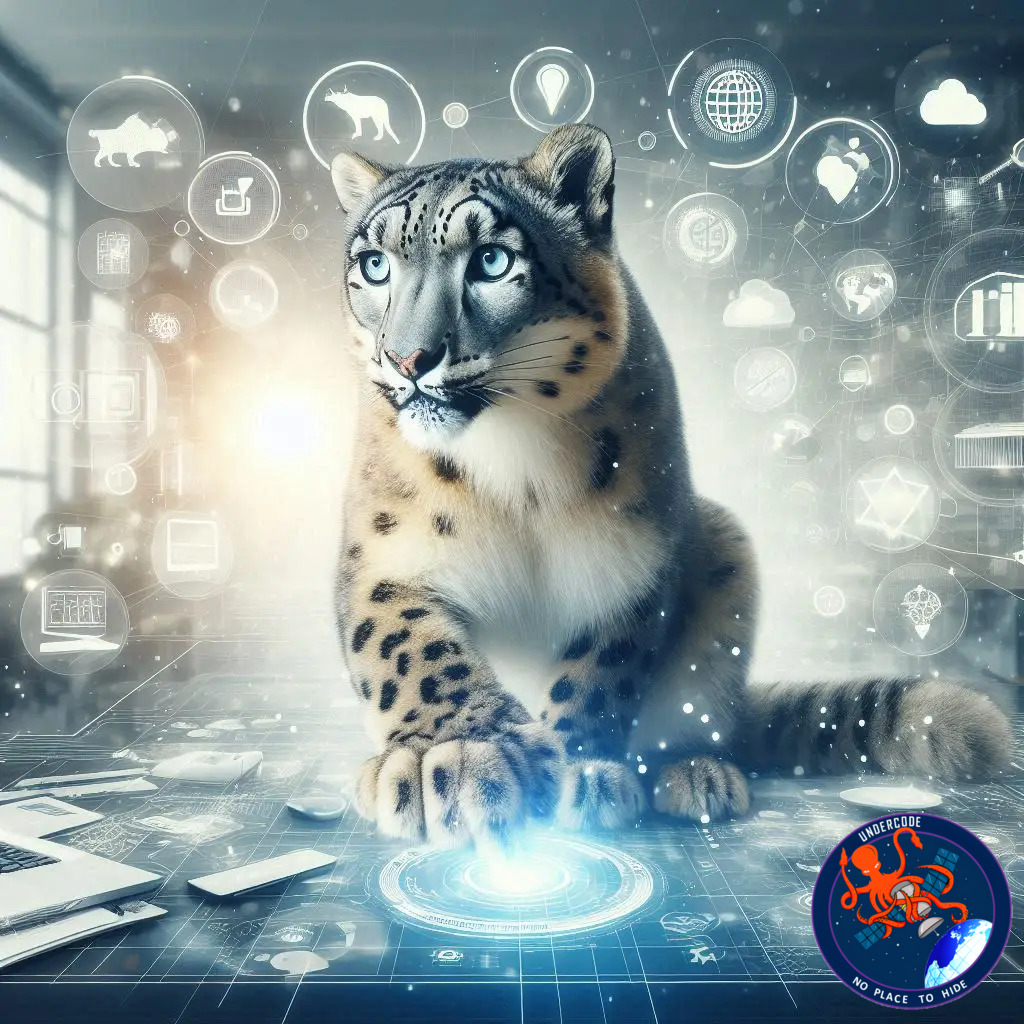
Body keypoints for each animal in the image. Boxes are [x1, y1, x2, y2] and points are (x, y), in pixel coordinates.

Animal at [329, 122, 1012, 850]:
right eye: (374, 265)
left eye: (490, 260)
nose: (408, 359)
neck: (514, 463)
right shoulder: (387, 557)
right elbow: (411, 651)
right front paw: (457, 758)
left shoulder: (629, 563)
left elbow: (599, 678)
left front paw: (578, 774)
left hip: (721, 555)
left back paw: (695, 776)